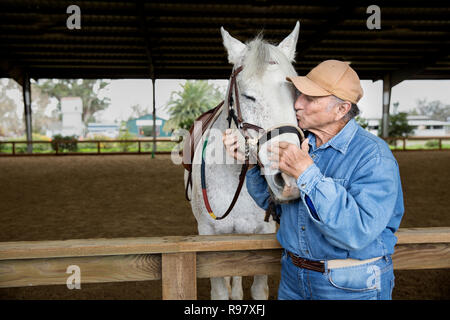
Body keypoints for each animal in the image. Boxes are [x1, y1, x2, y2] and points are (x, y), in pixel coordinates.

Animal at [185, 22, 304, 300]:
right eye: (248, 96)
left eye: (295, 94)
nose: (290, 177)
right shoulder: (209, 236)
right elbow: (220, 290)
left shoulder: (262, 235)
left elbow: (258, 289)